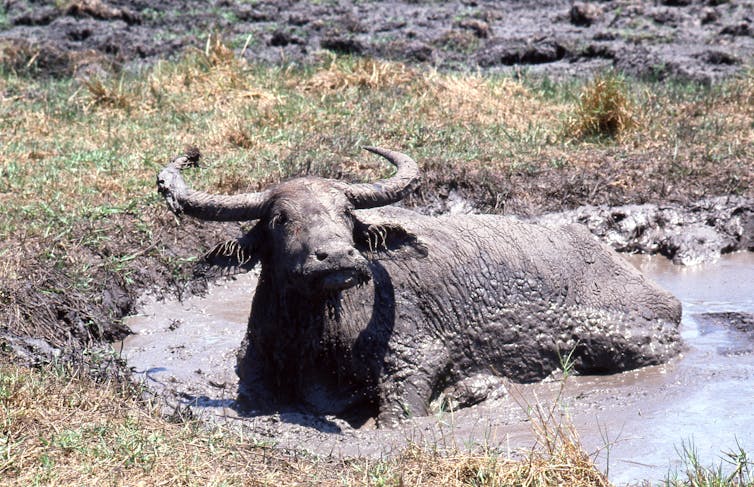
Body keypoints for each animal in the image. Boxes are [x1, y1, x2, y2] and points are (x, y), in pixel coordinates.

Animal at [157, 146, 680, 428]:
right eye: (280, 219)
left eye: (345, 214)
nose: (339, 257)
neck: (319, 339)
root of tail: (666, 300)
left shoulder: (419, 356)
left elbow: (400, 408)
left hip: (612, 337)